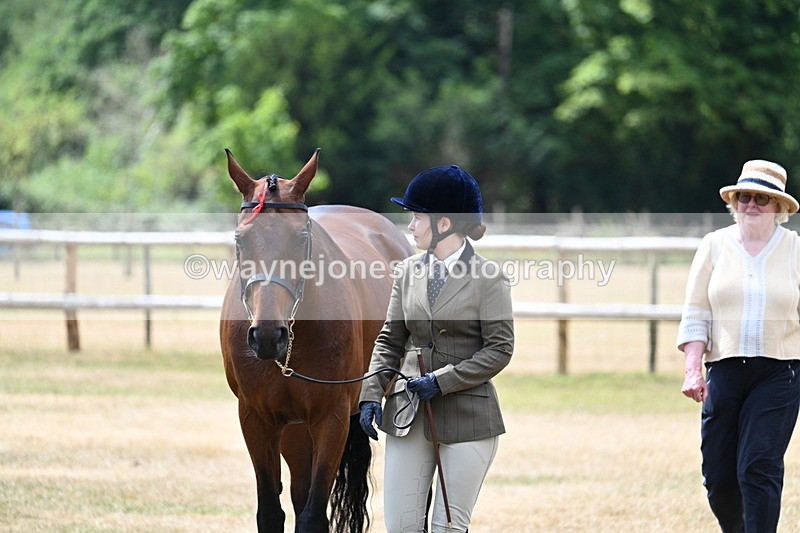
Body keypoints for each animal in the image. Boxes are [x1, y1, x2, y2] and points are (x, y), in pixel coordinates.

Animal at [219, 148, 412, 533]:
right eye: (240, 240)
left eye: (301, 239)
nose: (268, 336)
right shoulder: (256, 419)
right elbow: (271, 512)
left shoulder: (331, 418)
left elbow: (313, 515)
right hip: (294, 430)